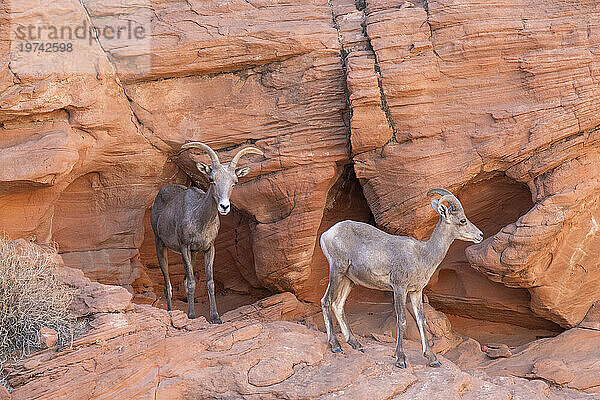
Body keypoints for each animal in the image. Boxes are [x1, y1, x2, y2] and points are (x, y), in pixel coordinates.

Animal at [150, 142, 262, 324]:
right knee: (168, 284)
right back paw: (170, 311)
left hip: (193, 254)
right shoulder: (184, 248)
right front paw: (191, 315)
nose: (224, 207)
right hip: (160, 244)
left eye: (234, 182)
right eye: (212, 180)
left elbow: (209, 282)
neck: (199, 219)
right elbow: (191, 283)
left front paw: (215, 318)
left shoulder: (208, 249)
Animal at [318, 188, 482, 368]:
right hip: (337, 270)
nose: (480, 235)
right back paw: (336, 345)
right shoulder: (399, 288)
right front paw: (401, 359)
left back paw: (356, 345)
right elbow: (402, 320)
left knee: (338, 304)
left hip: (349, 280)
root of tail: (326, 234)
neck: (422, 255)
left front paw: (433, 359)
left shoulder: (416, 292)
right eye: (462, 220)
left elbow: (421, 320)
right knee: (327, 301)